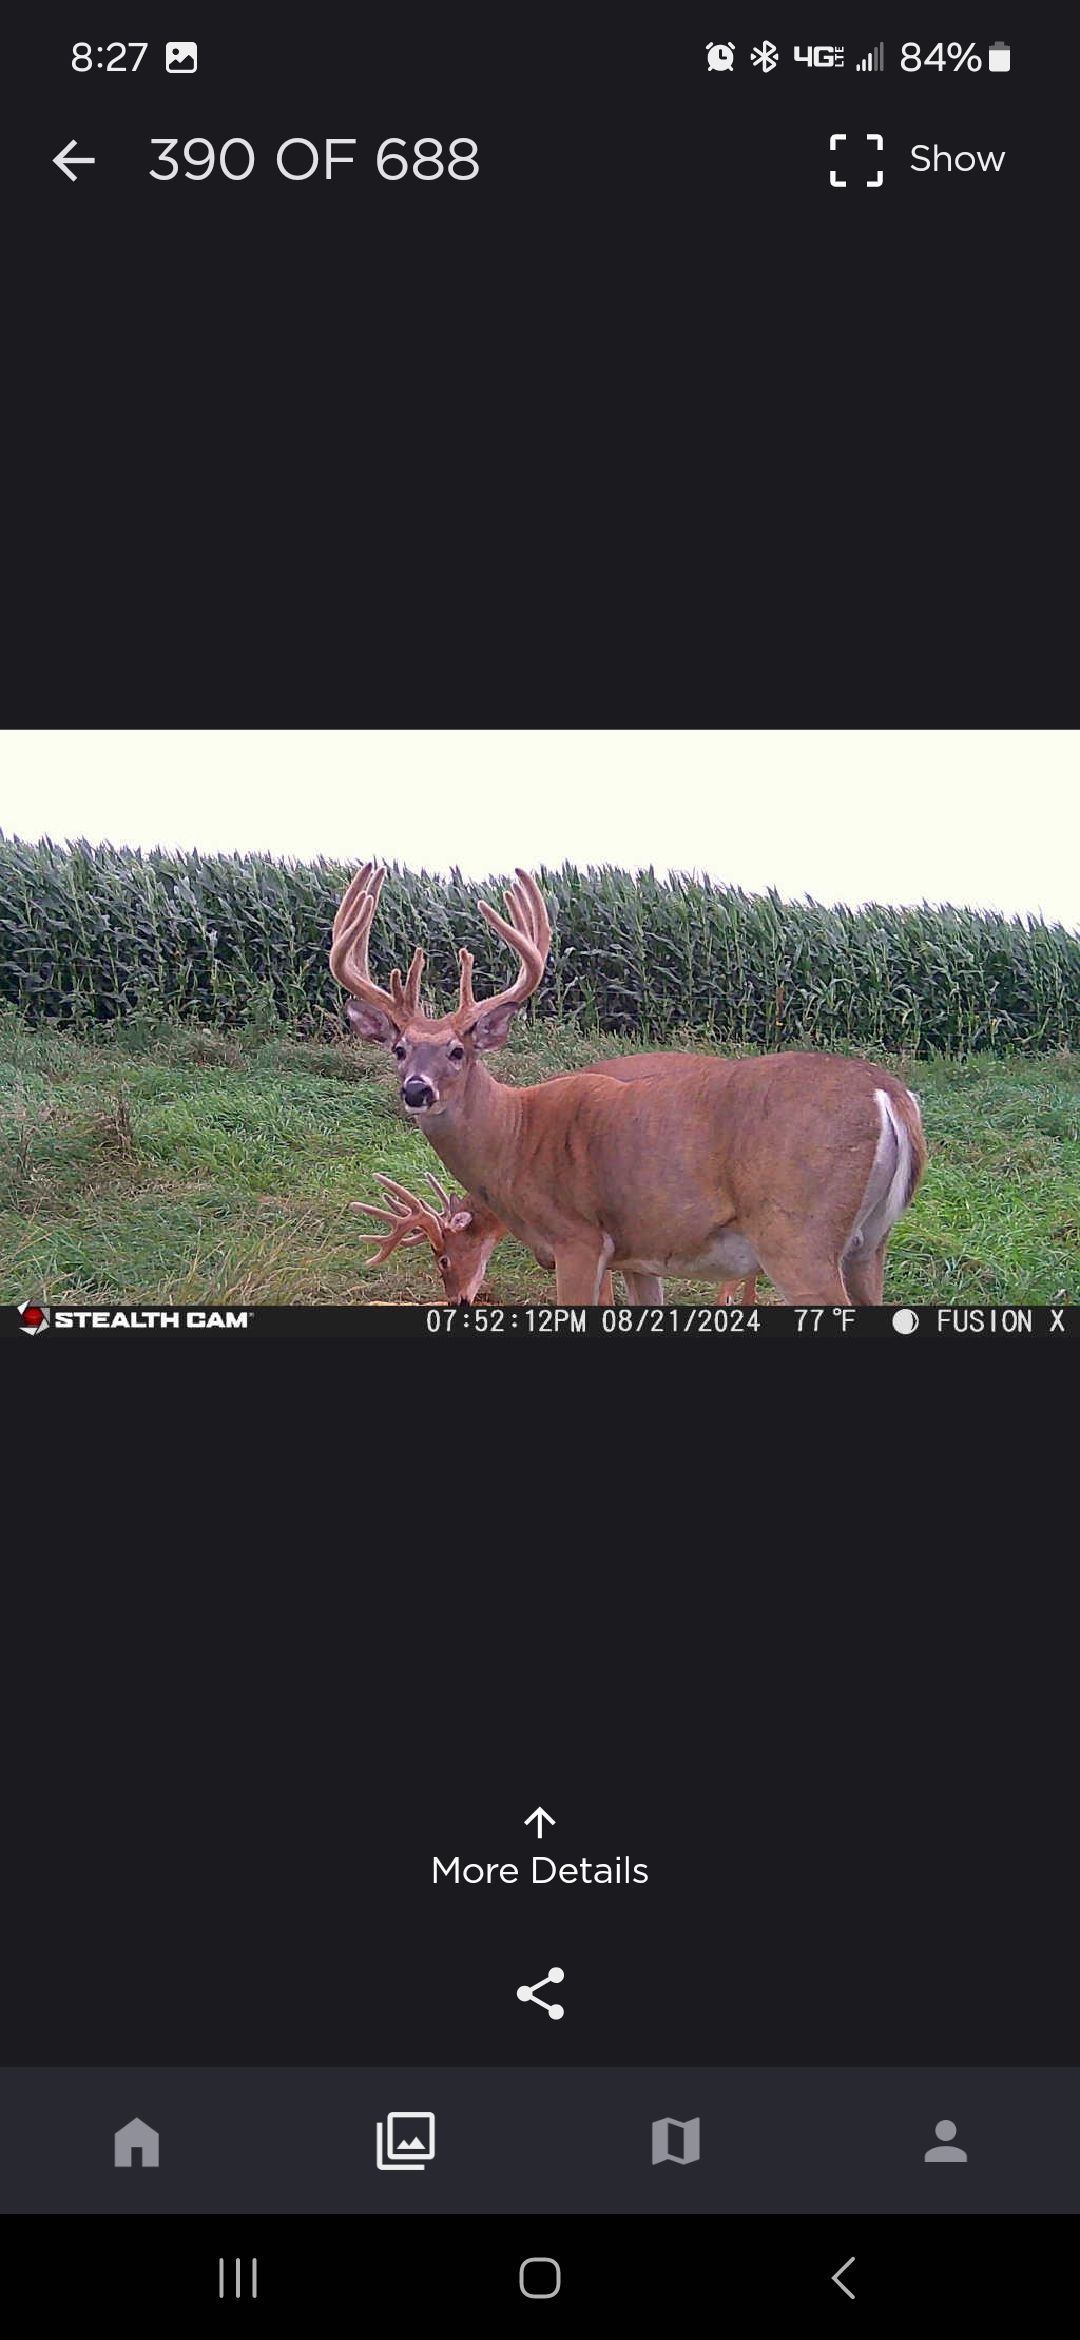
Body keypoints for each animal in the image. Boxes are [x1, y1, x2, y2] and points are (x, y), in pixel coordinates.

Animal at [330, 863, 927, 1306]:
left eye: (458, 1051)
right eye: (399, 1049)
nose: (417, 1091)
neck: (514, 1140)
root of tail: (890, 1096)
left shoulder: (578, 1237)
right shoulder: (640, 1253)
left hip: (798, 1235)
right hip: (868, 1244)